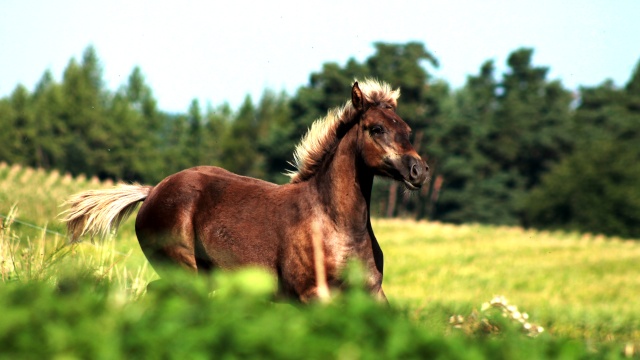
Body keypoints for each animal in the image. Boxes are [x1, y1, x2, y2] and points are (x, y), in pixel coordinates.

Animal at [61, 80, 430, 302]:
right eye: (376, 128)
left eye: (407, 129)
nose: (419, 171)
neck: (337, 226)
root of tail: (153, 191)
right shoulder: (312, 296)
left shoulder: (372, 294)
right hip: (183, 268)